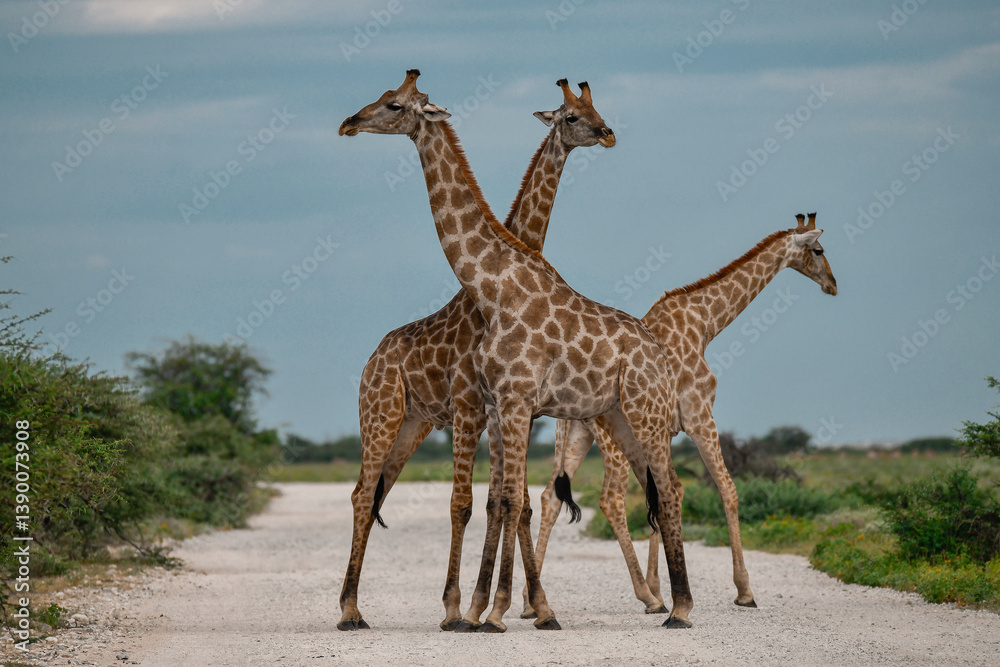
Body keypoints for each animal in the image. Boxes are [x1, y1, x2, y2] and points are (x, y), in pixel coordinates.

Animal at [340, 70, 694, 633]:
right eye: (571, 114)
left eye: (393, 105)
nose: (349, 123)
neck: (493, 286)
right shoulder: (497, 403)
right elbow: (503, 500)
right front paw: (496, 608)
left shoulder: (504, 403)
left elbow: (498, 501)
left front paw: (490, 610)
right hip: (391, 416)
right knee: (362, 494)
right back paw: (351, 610)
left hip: (639, 411)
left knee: (670, 486)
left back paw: (677, 608)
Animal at [524, 213, 838, 616]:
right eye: (818, 250)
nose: (832, 285)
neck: (705, 323)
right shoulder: (700, 415)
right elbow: (726, 489)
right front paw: (743, 590)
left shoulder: (667, 431)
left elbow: (665, 493)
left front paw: (665, 588)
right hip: (613, 439)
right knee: (610, 499)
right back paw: (642, 595)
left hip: (575, 434)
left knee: (551, 496)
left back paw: (533, 602)